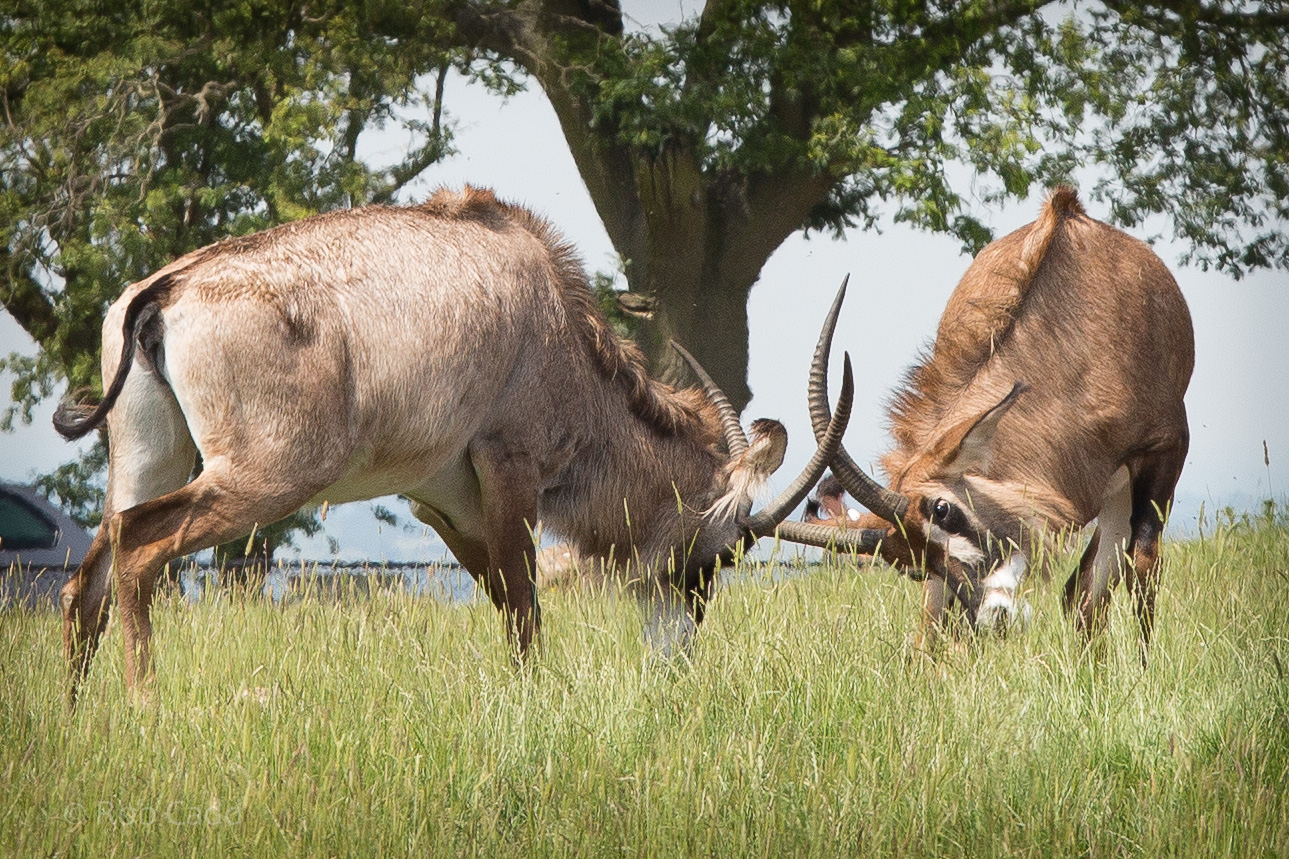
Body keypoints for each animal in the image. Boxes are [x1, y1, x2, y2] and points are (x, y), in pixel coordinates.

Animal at [54, 186, 857, 703]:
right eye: (717, 558)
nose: (675, 661)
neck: (554, 319)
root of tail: (167, 289)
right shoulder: (511, 463)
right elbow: (525, 605)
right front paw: (537, 706)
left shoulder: (439, 496)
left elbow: (500, 594)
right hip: (264, 476)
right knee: (139, 545)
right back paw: (144, 708)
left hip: (149, 458)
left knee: (90, 571)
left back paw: (81, 722)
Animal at [803, 188, 1194, 662]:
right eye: (910, 565)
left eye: (943, 509)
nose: (993, 614)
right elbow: (936, 621)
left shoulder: (1165, 451)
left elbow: (1143, 562)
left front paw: (1143, 670)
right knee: (1078, 591)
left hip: (1127, 486)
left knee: (1094, 583)